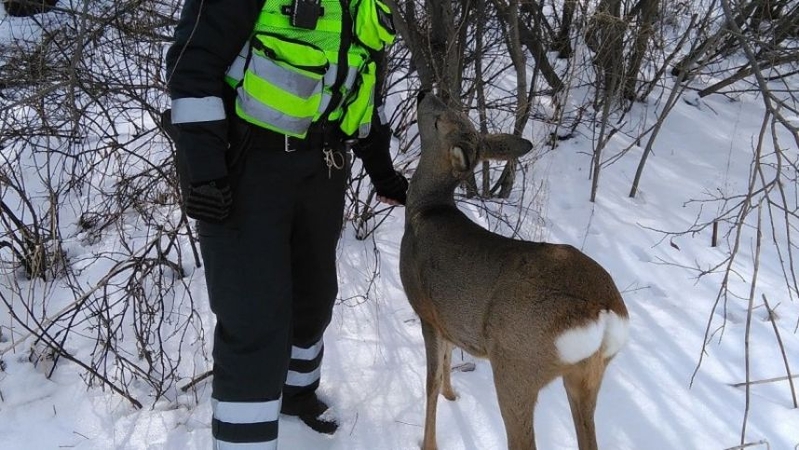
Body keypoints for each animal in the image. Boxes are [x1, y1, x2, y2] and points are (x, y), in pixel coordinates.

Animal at [400, 89, 632, 450]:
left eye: (439, 121)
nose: (424, 93)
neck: (425, 209)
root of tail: (606, 311)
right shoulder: (448, 317)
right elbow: (450, 357)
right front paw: (454, 396)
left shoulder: (426, 310)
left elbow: (431, 381)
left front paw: (428, 442)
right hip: (588, 375)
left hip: (516, 365)